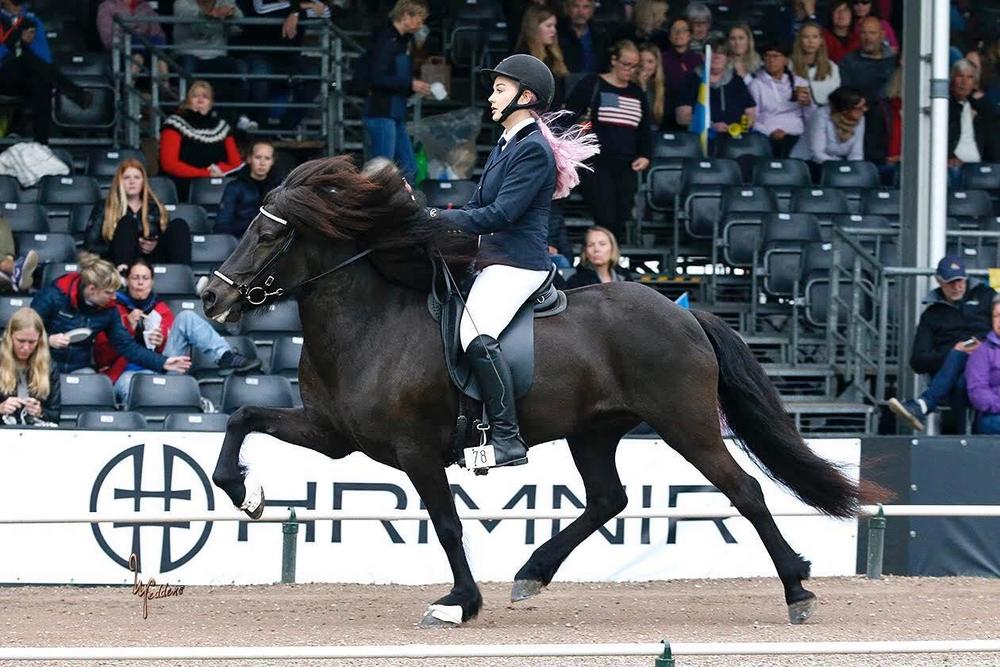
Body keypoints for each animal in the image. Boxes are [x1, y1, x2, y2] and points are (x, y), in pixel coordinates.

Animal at [201, 156, 881, 627]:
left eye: (270, 235)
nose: (210, 297)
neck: (370, 324)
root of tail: (684, 312)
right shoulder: (332, 435)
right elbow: (241, 418)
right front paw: (248, 496)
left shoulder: (416, 451)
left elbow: (447, 523)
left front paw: (459, 603)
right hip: (594, 429)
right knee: (608, 499)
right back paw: (532, 573)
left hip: (684, 422)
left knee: (743, 491)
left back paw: (798, 589)